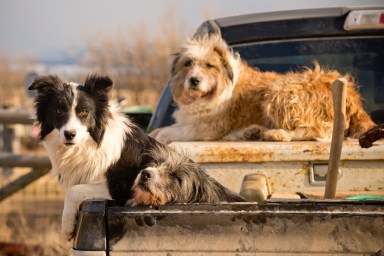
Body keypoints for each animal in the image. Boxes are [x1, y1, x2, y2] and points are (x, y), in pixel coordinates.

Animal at [30, 73, 246, 240]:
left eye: (84, 112)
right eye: (59, 110)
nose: (69, 134)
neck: (88, 145)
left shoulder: (118, 188)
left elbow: (74, 191)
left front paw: (67, 227)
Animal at [151, 34, 376, 143]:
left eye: (209, 65)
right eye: (188, 63)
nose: (194, 80)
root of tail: (352, 97)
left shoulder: (209, 127)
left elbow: (170, 132)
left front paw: (161, 136)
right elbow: (162, 129)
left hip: (280, 93)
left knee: (320, 132)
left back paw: (277, 134)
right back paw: (253, 132)